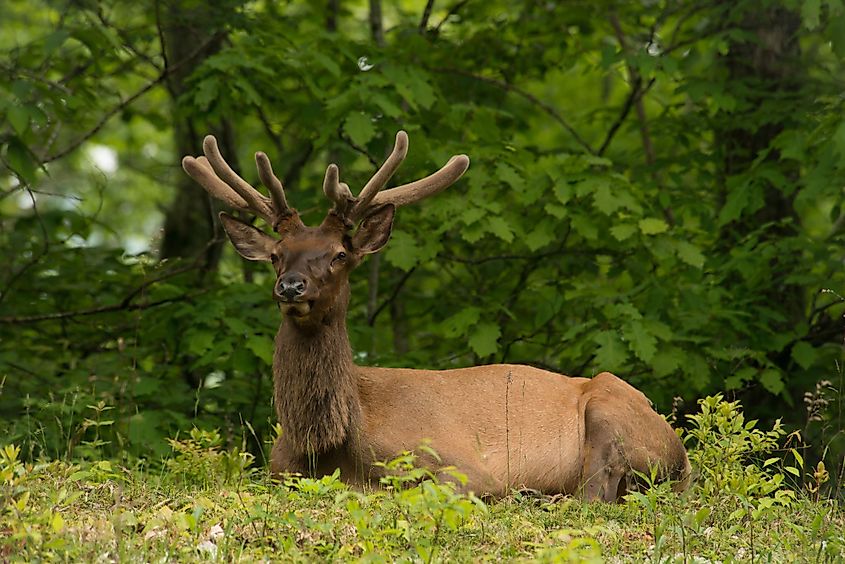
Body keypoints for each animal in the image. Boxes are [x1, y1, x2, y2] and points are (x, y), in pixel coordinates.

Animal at [181, 132, 688, 502]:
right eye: (276, 255)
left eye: (341, 254)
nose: (290, 287)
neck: (327, 444)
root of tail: (682, 454)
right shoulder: (276, 469)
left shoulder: (464, 467)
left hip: (612, 410)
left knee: (595, 491)